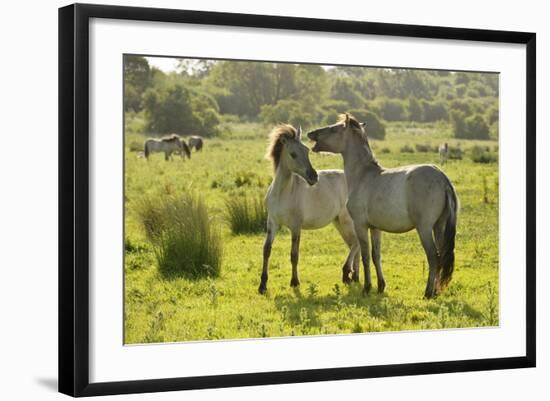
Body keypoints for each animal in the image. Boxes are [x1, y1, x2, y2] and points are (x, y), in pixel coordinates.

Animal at [260, 125, 362, 294]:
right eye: (293, 154)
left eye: (307, 151)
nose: (313, 177)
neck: (282, 193)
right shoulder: (272, 224)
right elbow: (266, 250)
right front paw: (262, 285)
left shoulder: (295, 227)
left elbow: (294, 255)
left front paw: (294, 282)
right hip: (339, 223)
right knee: (356, 245)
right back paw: (354, 277)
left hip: (346, 221)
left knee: (356, 243)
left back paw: (347, 273)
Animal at [308, 113, 460, 296]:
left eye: (333, 129)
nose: (310, 133)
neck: (363, 175)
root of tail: (442, 177)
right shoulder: (375, 228)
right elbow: (376, 256)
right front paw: (380, 286)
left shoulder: (360, 225)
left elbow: (365, 256)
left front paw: (367, 287)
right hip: (438, 226)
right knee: (441, 255)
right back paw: (436, 291)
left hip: (424, 229)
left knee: (433, 257)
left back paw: (428, 293)